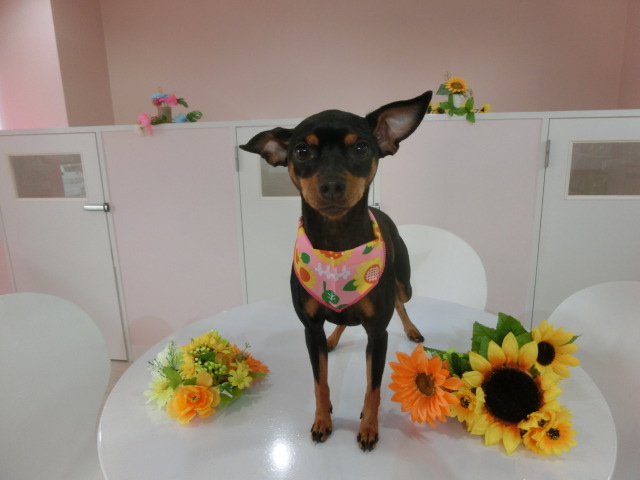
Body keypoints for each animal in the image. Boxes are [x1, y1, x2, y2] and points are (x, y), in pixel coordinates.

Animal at [240, 91, 431, 450]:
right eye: (301, 151)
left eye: (361, 148)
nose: (331, 185)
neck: (336, 247)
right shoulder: (310, 328)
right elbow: (320, 382)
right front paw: (322, 421)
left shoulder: (378, 334)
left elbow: (373, 387)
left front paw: (369, 427)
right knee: (343, 318)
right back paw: (334, 337)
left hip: (403, 282)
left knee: (401, 302)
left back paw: (411, 329)